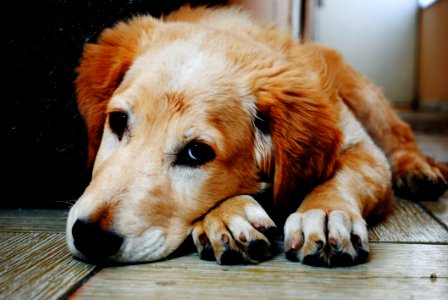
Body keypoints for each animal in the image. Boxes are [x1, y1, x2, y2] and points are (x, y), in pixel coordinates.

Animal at [65, 5, 446, 268]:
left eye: (197, 153)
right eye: (117, 121)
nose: (89, 236)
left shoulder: (363, 150)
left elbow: (343, 176)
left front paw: (324, 212)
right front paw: (229, 216)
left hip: (364, 96)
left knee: (400, 136)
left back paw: (418, 170)